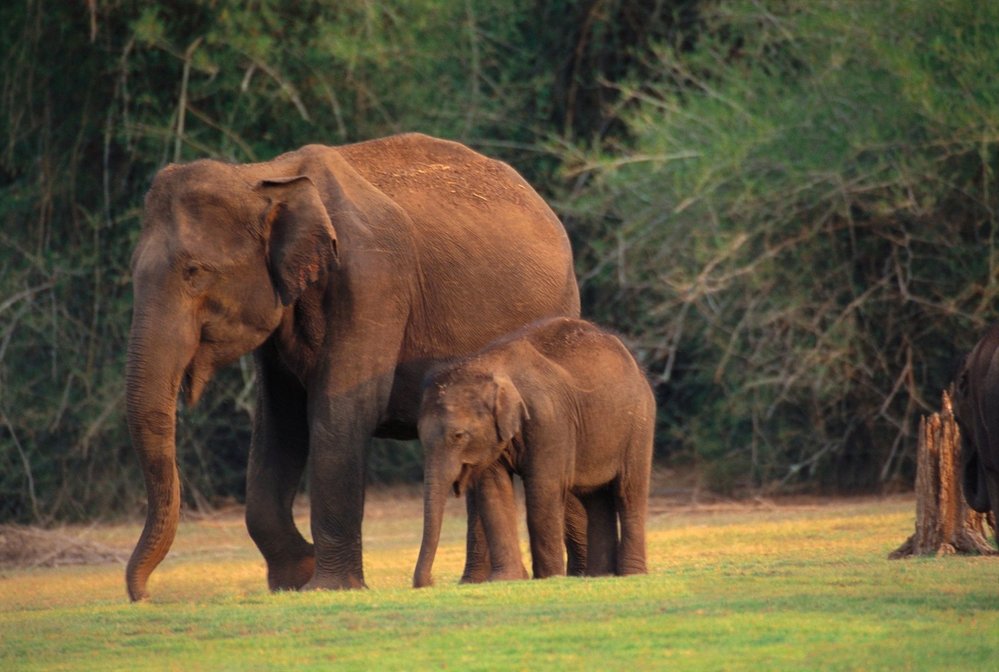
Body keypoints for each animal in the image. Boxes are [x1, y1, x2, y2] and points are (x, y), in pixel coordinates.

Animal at [125, 134, 580, 600]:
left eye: (195, 272)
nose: (143, 595)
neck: (262, 175)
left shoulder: (373, 277)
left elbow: (343, 409)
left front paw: (324, 585)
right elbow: (279, 422)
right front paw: (294, 578)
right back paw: (476, 581)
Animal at [412, 318, 656, 584]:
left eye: (458, 436)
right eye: (421, 437)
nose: (429, 582)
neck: (489, 365)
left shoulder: (548, 419)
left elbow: (543, 488)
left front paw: (549, 578)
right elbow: (493, 492)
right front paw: (505, 579)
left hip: (639, 422)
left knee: (628, 491)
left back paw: (631, 573)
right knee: (595, 496)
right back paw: (600, 576)